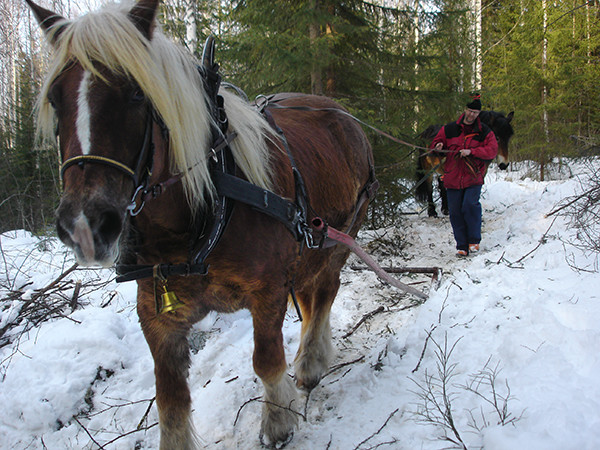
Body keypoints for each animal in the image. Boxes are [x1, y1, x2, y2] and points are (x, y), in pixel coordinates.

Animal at [27, 1, 376, 448]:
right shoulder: (156, 314)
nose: (85, 226)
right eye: (55, 99)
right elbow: (170, 399)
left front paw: (277, 421)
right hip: (307, 249)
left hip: (339, 238)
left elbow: (267, 361)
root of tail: (340, 112)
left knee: (326, 291)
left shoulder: (267, 291)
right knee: (311, 294)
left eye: (137, 93)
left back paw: (312, 361)